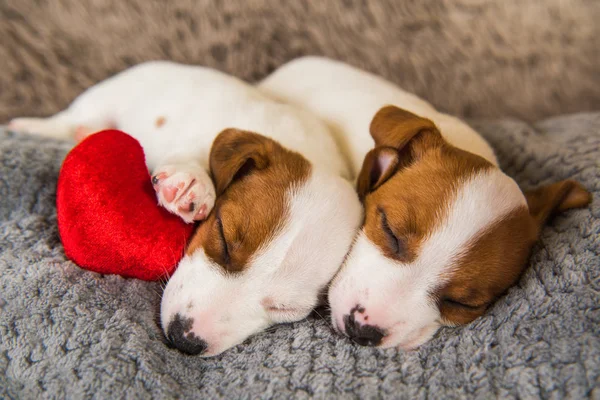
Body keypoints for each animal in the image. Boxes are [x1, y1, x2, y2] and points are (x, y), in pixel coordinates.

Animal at [9, 60, 364, 356]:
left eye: (285, 309)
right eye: (222, 239)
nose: (184, 339)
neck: (308, 150)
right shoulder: (207, 133)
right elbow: (195, 151)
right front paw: (193, 181)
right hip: (100, 100)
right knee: (64, 121)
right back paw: (29, 126)